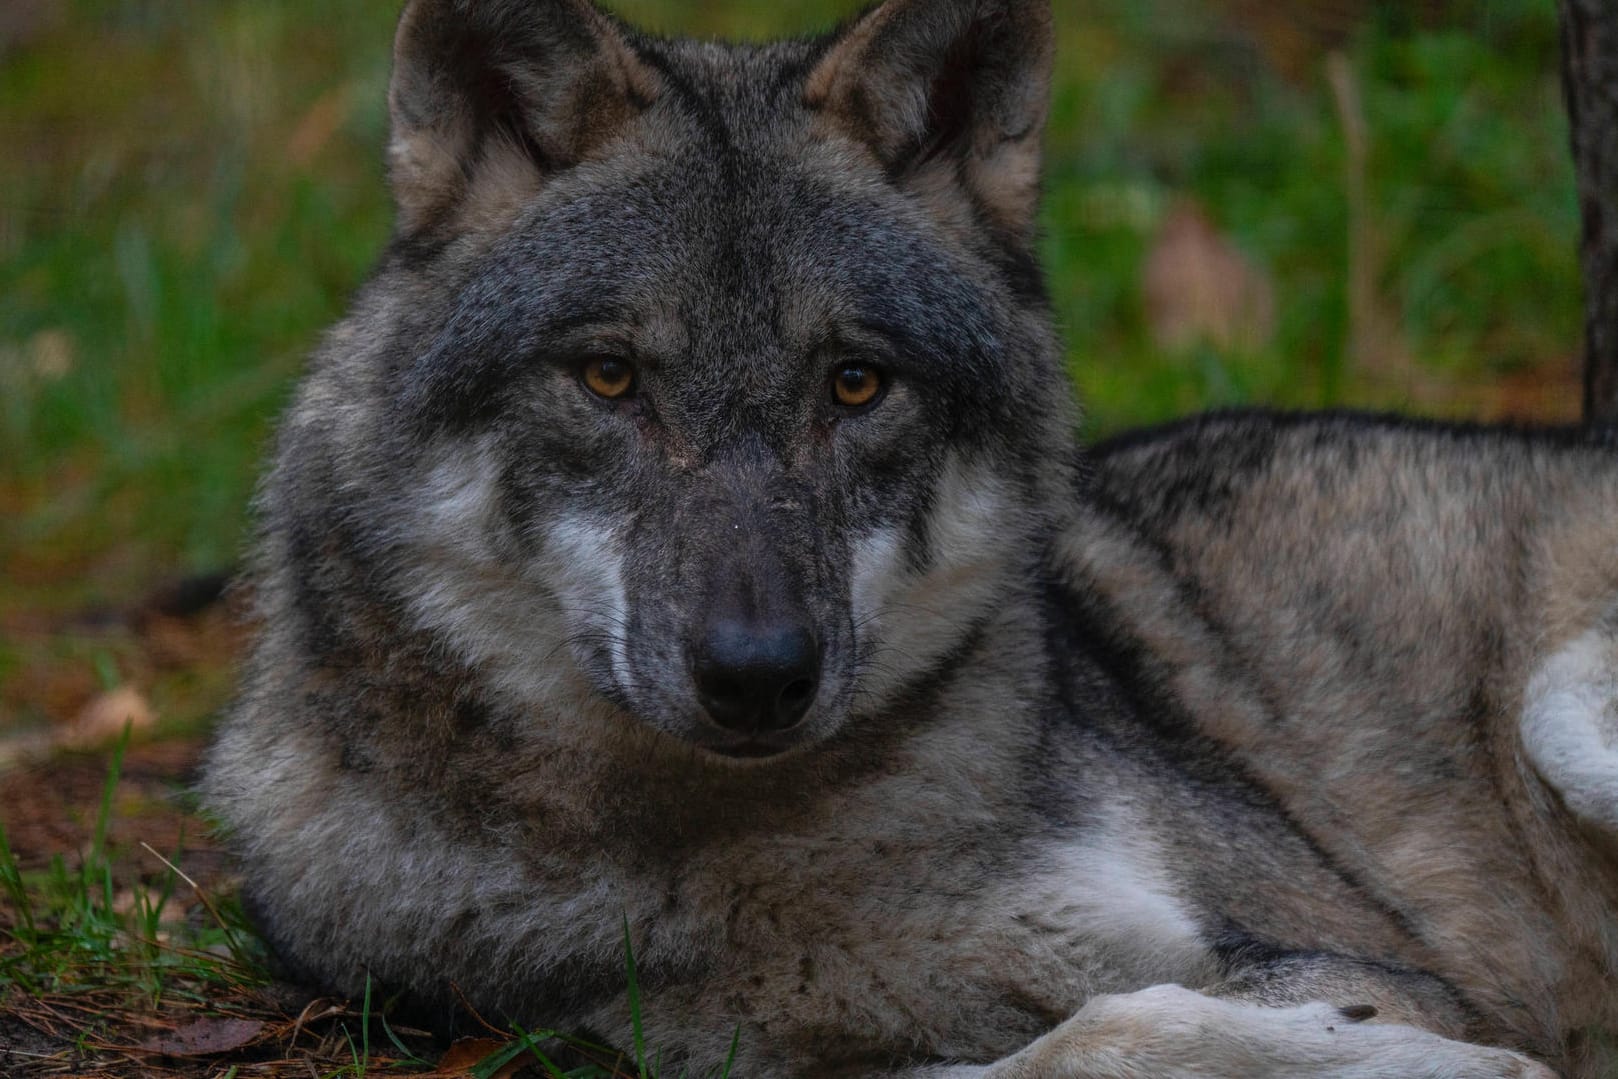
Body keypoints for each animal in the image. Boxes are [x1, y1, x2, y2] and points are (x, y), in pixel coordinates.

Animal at [199, 0, 1618, 1074]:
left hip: (1559, 706)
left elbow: (1119, 1025)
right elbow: (1074, 1041)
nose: (759, 673)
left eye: (854, 384)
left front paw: (1444, 1057)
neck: (753, 848)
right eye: (609, 378)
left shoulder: (1340, 949)